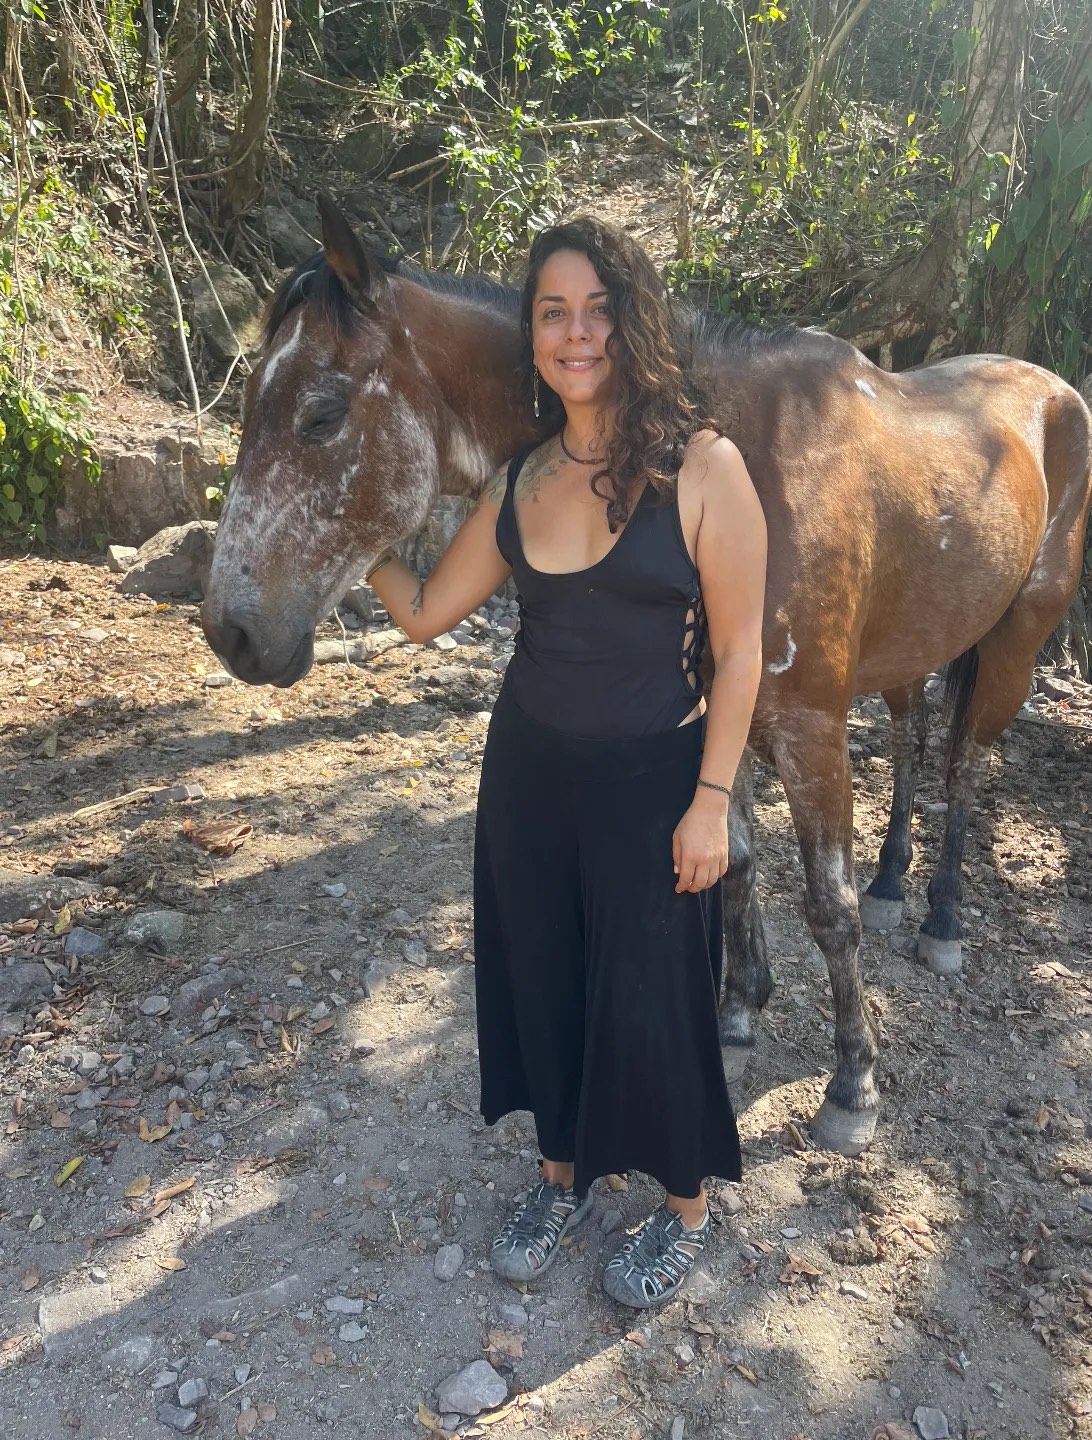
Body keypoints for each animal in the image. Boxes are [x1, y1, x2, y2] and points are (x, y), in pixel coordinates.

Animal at [201, 199, 1092, 1156]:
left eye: (321, 415)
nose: (231, 632)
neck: (740, 459)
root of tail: (1051, 387)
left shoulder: (809, 732)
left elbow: (828, 907)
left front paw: (853, 1083)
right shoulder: (722, 713)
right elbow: (732, 861)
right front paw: (739, 1012)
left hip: (1017, 641)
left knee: (965, 768)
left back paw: (943, 918)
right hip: (915, 649)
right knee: (913, 736)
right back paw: (896, 883)